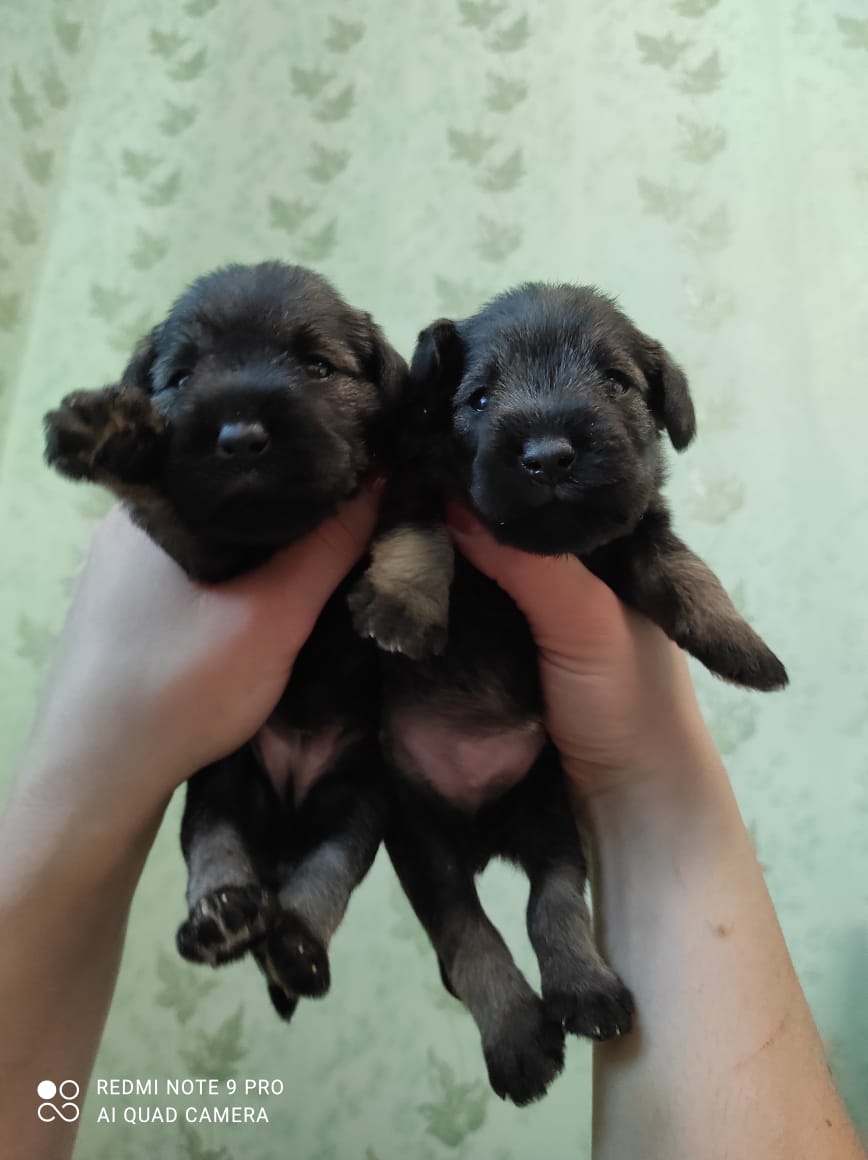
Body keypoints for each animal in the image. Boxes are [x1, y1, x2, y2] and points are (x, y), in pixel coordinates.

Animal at [43, 261, 403, 1016]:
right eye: (181, 378)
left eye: (317, 366)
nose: (240, 436)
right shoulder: (206, 554)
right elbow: (167, 502)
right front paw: (119, 442)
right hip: (223, 782)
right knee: (216, 847)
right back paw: (225, 914)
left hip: (357, 801)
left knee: (326, 873)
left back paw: (295, 946)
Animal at [348, 283, 789, 1104]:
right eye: (478, 397)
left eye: (616, 383)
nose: (548, 455)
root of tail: (483, 831)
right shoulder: (416, 487)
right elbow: (420, 539)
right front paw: (404, 611)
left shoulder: (636, 530)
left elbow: (685, 568)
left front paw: (743, 647)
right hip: (421, 842)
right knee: (466, 934)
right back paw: (520, 1042)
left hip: (548, 812)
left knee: (548, 902)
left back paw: (586, 992)